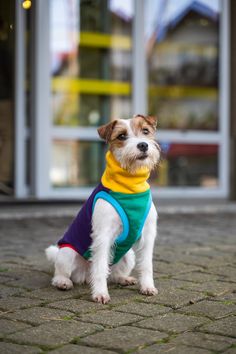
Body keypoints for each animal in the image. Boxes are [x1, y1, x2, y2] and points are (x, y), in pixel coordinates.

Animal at [45, 114, 160, 304]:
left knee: (113, 274)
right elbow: (99, 268)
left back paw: (123, 278)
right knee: (61, 273)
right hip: (66, 253)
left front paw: (148, 287)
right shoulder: (103, 236)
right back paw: (63, 282)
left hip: (128, 256)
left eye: (145, 131)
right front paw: (100, 293)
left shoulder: (148, 235)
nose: (143, 145)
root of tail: (84, 277)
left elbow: (147, 265)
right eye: (121, 136)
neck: (130, 187)